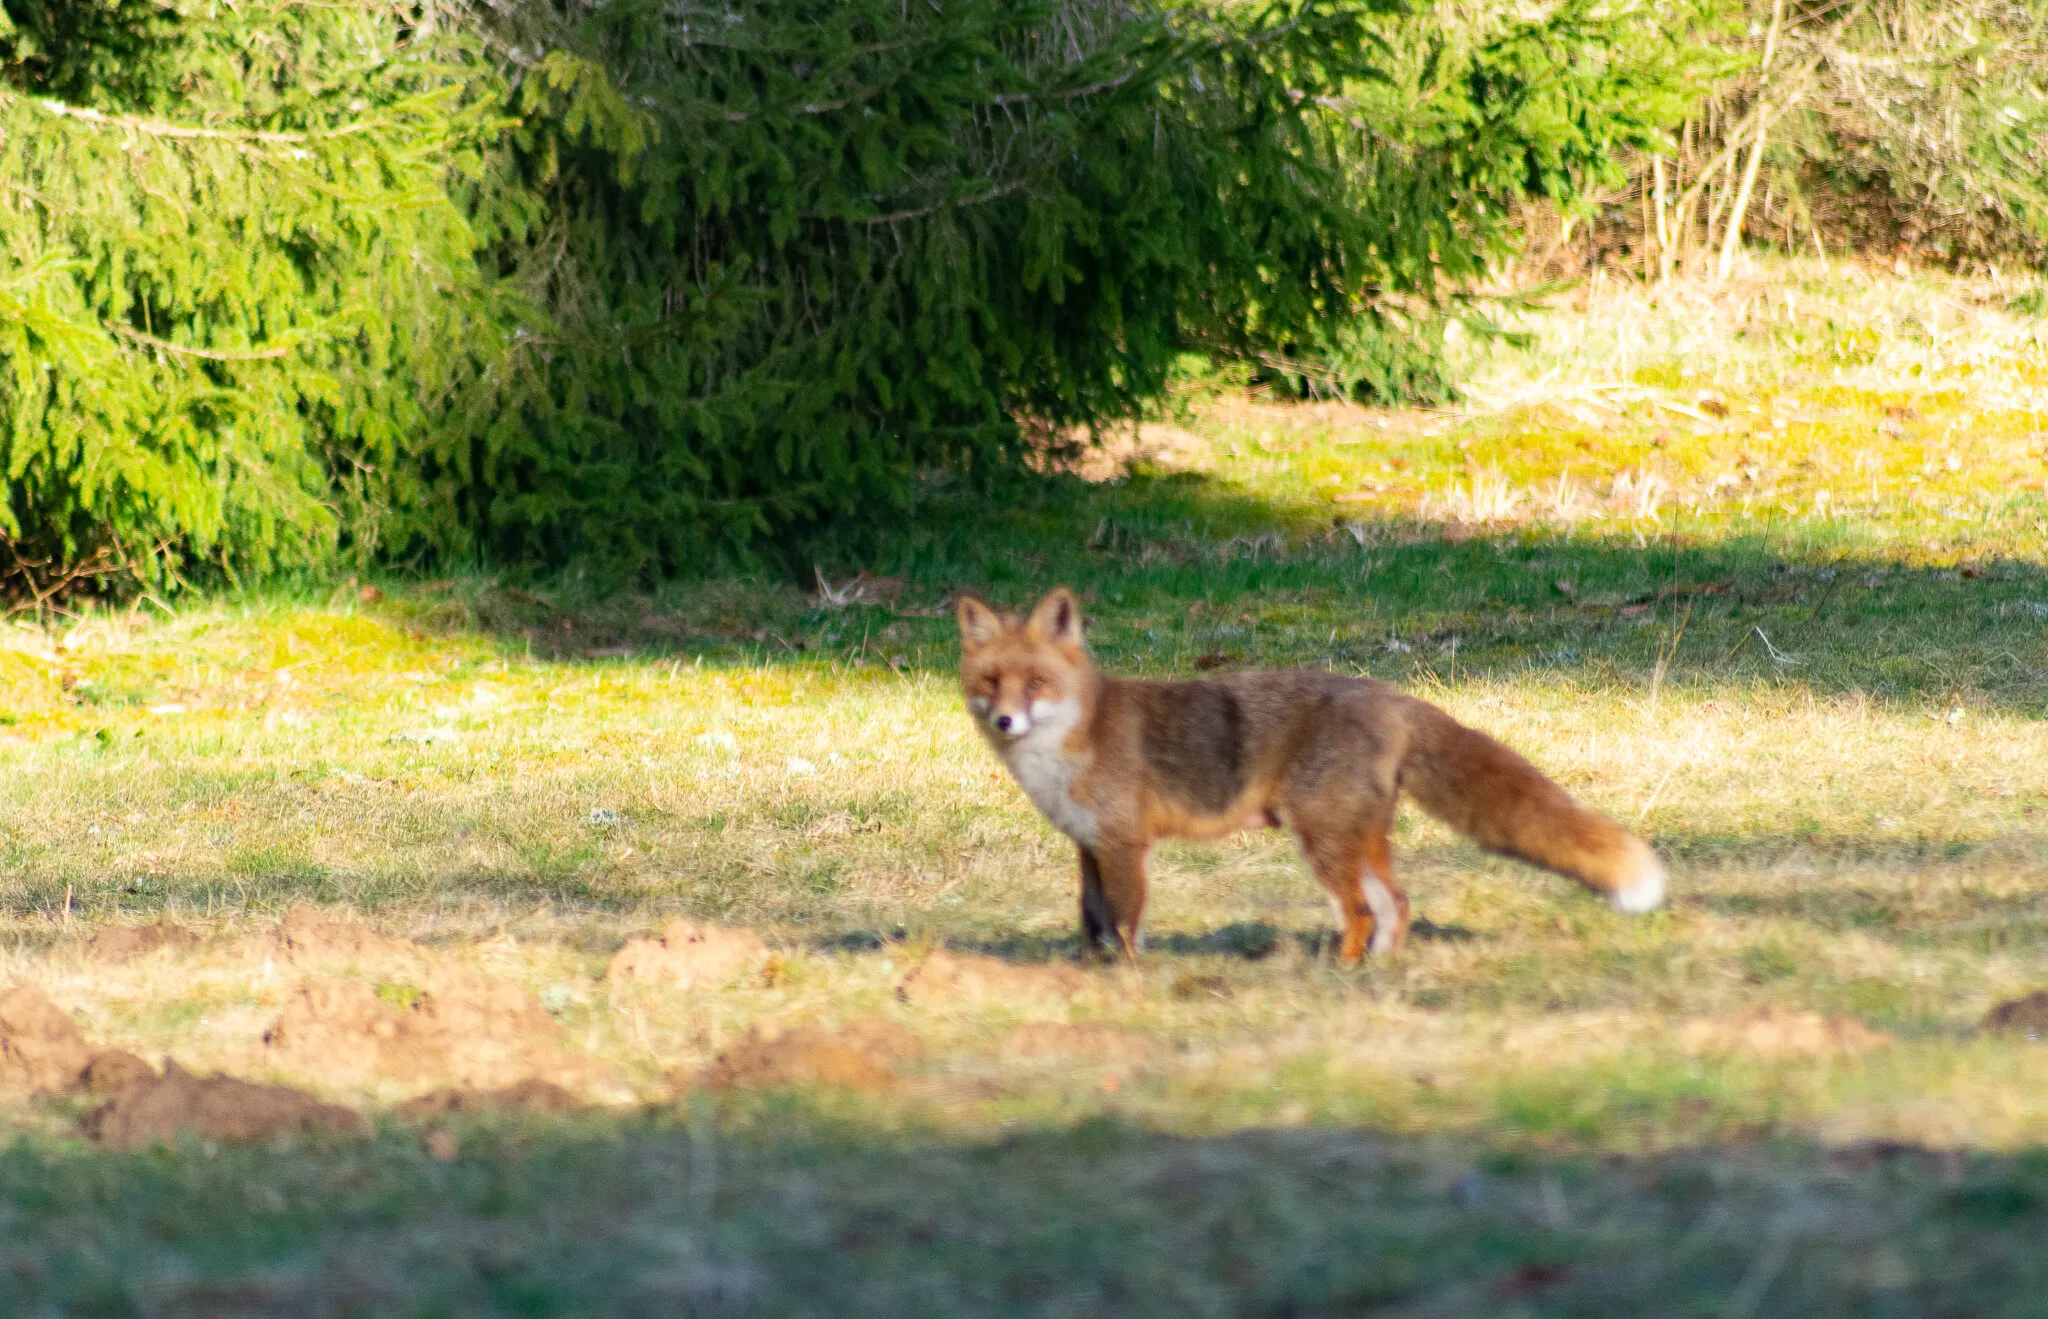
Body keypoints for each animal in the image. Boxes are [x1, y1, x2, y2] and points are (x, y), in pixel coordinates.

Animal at [956, 586, 1666, 964]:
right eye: (991, 682)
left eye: (1036, 682)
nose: (1006, 721)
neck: (1077, 737)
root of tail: (1390, 694)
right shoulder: (1088, 846)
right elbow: (1092, 920)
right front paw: (1091, 972)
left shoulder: (1125, 844)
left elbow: (1126, 924)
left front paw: (1127, 979)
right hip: (1354, 838)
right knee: (1396, 905)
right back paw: (1376, 974)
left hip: (1322, 841)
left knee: (1361, 911)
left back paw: (1343, 973)